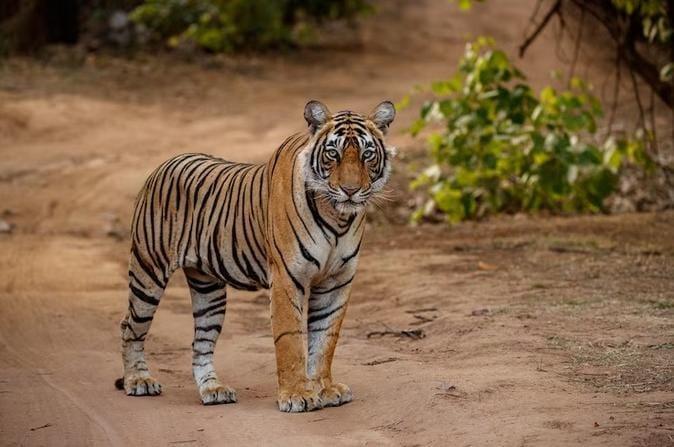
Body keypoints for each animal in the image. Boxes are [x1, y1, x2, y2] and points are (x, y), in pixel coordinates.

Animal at [117, 101, 394, 412]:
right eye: (332, 154)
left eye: (367, 154)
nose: (350, 191)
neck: (338, 218)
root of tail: (164, 164)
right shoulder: (288, 278)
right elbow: (290, 338)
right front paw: (297, 395)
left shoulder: (337, 281)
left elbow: (325, 338)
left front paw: (325, 388)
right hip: (148, 271)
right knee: (130, 327)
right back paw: (138, 381)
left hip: (208, 290)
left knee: (201, 343)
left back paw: (213, 389)